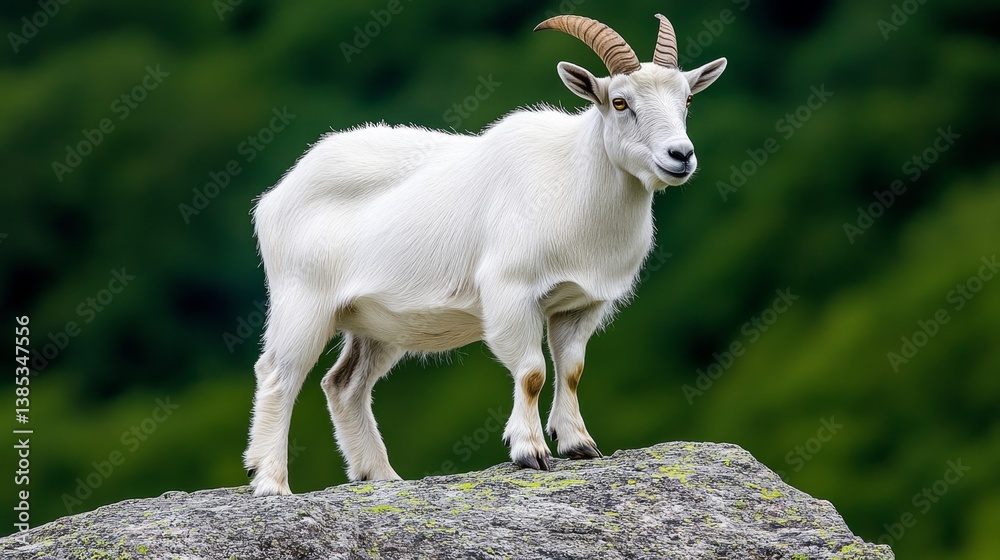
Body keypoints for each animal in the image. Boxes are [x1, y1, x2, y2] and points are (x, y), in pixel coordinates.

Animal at [244, 13, 727, 496]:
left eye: (686, 98)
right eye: (620, 102)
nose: (680, 155)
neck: (572, 182)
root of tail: (275, 196)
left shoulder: (581, 303)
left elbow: (571, 369)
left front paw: (579, 445)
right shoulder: (510, 292)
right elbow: (532, 372)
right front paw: (530, 452)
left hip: (376, 321)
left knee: (344, 384)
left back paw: (380, 476)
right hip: (303, 301)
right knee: (278, 375)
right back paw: (271, 482)